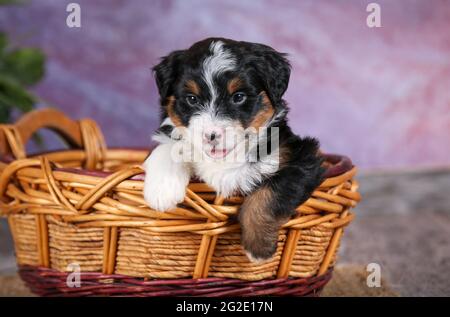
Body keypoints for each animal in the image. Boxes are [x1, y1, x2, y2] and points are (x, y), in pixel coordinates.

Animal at [144, 38, 324, 260]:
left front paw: (259, 249)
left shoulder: (302, 156)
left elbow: (270, 193)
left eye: (238, 97)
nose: (211, 135)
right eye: (192, 99)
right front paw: (161, 192)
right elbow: (168, 148)